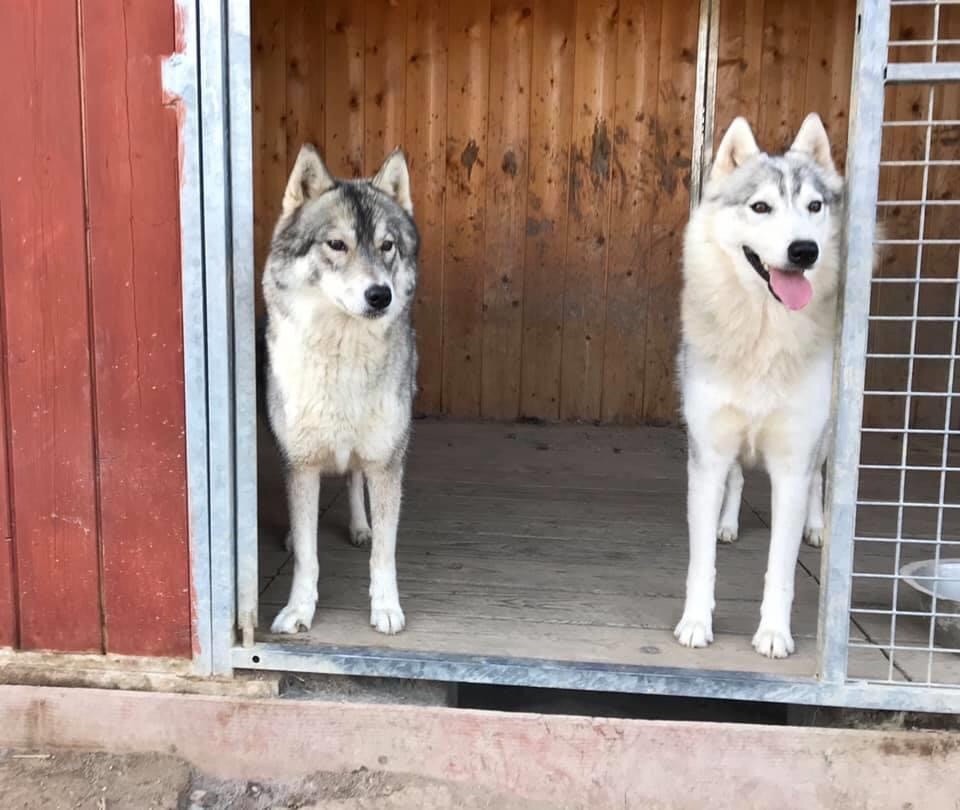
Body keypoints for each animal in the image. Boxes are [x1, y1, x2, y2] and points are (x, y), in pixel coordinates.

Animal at [261, 144, 419, 636]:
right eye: (336, 245)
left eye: (387, 246)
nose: (380, 295)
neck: (342, 355)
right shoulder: (300, 462)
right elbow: (308, 556)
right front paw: (297, 610)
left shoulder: (387, 462)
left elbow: (385, 553)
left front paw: (386, 608)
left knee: (352, 478)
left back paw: (359, 526)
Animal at [674, 113, 845, 658]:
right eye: (760, 207)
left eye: (814, 207)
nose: (804, 250)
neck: (761, 335)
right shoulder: (707, 454)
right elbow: (700, 564)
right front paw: (695, 623)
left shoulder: (792, 462)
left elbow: (781, 570)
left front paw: (773, 633)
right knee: (737, 479)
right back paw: (727, 524)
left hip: (824, 437)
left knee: (819, 483)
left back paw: (817, 527)